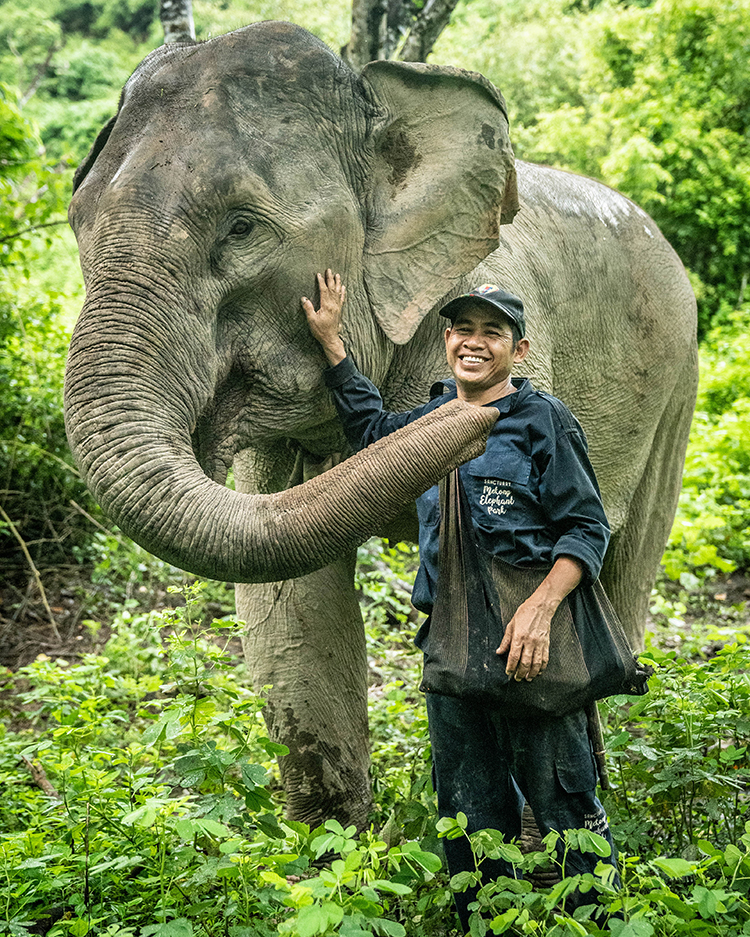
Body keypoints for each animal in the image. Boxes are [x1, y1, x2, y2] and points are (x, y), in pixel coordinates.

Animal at [64, 20, 700, 828]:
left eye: (241, 227)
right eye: (77, 221)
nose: (482, 416)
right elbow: (291, 608)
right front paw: (330, 847)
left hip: (678, 376)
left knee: (626, 561)